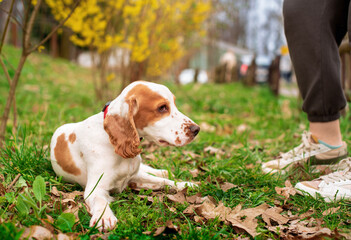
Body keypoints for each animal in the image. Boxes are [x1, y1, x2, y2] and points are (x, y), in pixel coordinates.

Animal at [51, 80, 202, 231]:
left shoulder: (134, 178)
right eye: (162, 108)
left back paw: (163, 171)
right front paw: (104, 218)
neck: (112, 141)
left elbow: (163, 181)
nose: (196, 129)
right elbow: (100, 201)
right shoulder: (95, 188)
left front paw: (185, 184)